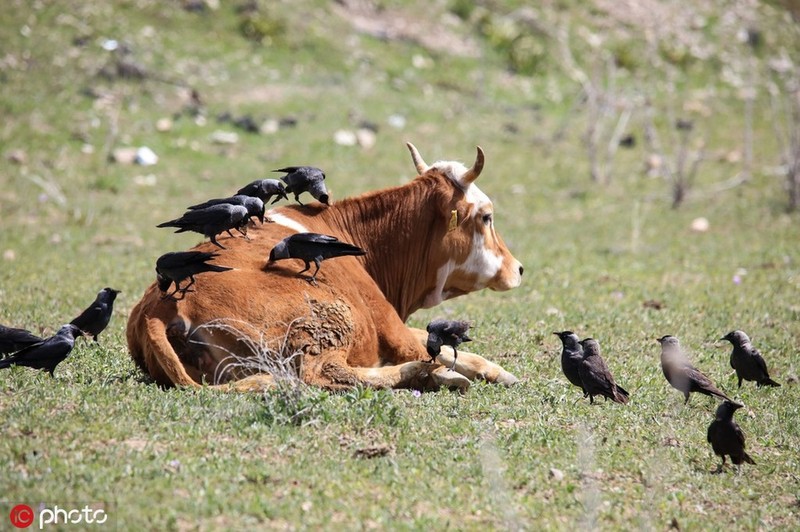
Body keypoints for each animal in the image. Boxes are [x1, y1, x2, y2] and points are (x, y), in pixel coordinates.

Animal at [126, 143, 524, 392]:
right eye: (487, 217)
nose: (518, 268)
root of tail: (156, 309)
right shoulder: (395, 330)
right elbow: (452, 352)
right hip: (327, 322)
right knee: (325, 373)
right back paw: (429, 375)